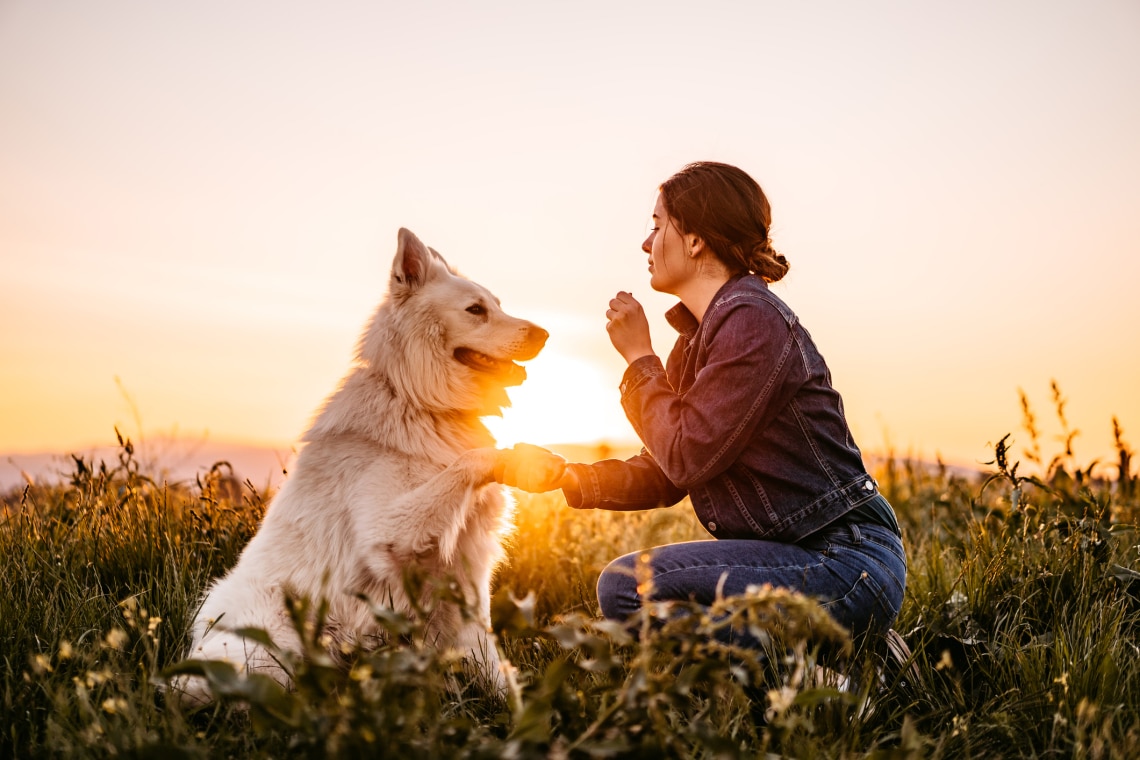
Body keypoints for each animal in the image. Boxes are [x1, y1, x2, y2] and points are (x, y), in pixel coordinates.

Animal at [175, 227, 549, 706]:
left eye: (497, 304)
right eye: (476, 310)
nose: (545, 334)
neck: (418, 402)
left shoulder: (469, 571)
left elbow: (488, 658)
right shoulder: (390, 534)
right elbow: (470, 461)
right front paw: (519, 457)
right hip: (270, 649)